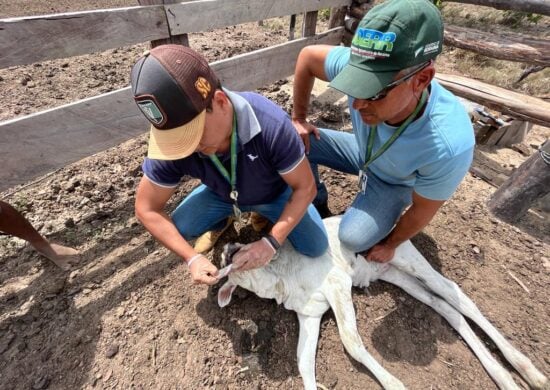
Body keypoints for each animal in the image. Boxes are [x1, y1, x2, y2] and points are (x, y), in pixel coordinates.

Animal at [218, 216, 548, 390]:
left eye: (243, 249)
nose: (227, 246)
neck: (282, 282)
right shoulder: (309, 314)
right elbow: (303, 363)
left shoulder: (338, 283)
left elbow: (352, 342)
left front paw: (394, 383)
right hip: (394, 274)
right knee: (443, 306)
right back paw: (504, 377)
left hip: (406, 256)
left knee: (456, 294)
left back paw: (528, 371)